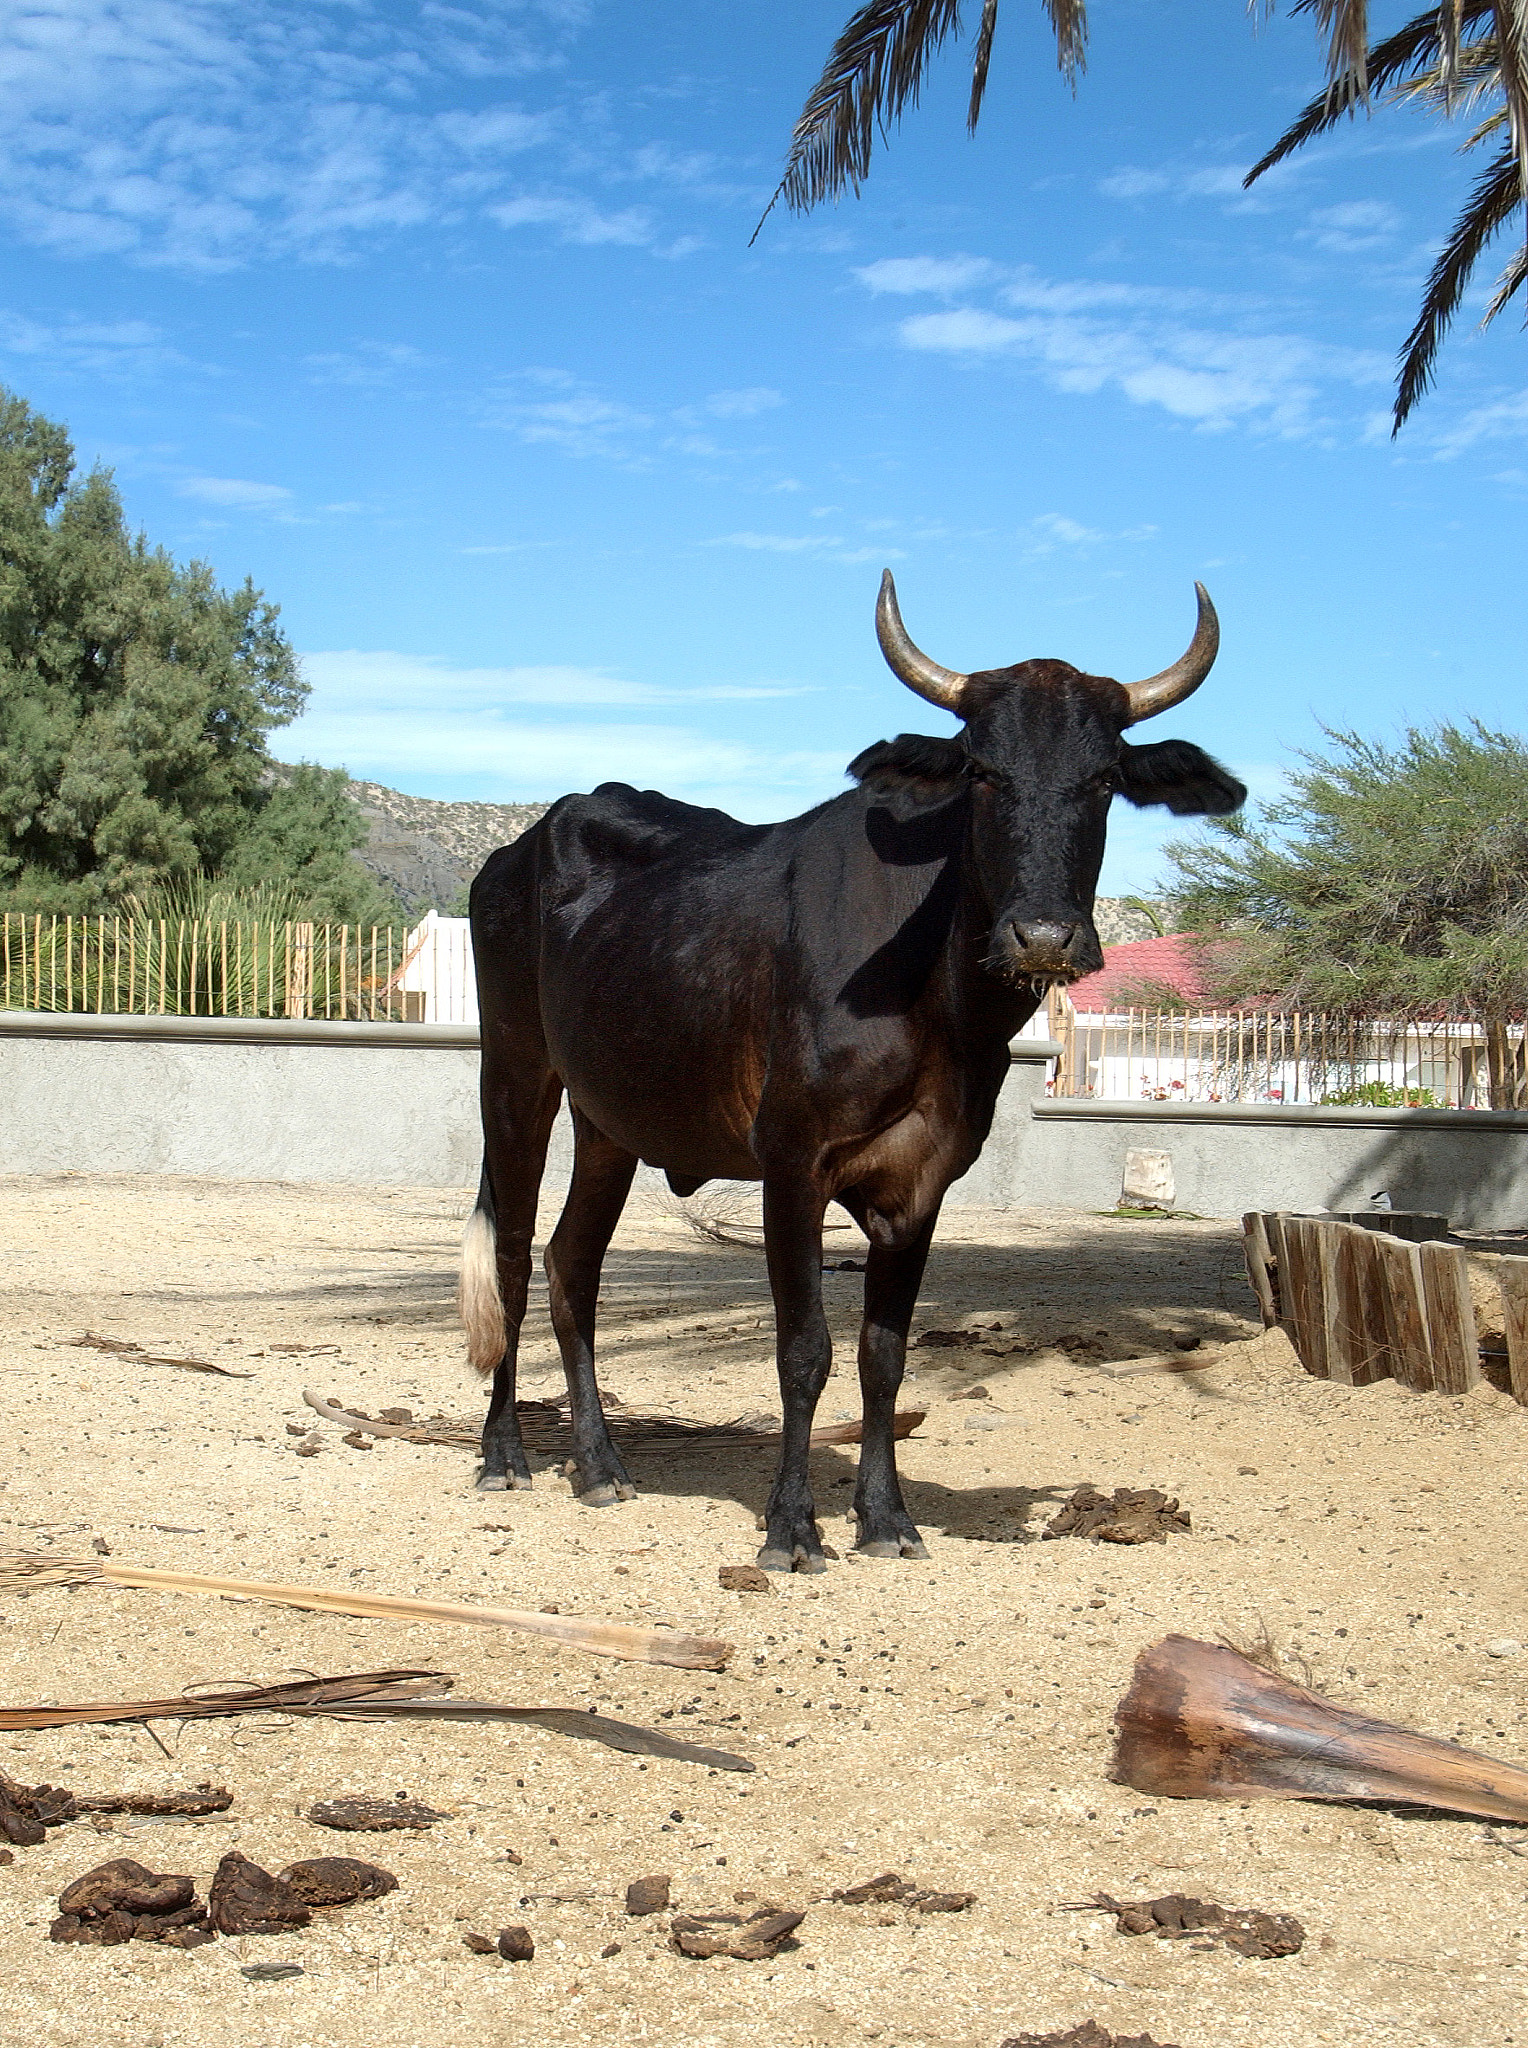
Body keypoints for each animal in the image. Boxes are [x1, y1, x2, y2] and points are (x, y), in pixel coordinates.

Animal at [459, 573, 1244, 1570]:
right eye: (984, 772)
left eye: (1104, 779)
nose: (1044, 936)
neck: (936, 997)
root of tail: (521, 847)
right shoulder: (791, 1163)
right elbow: (806, 1351)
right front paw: (792, 1525)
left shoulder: (922, 1182)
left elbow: (884, 1355)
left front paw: (885, 1516)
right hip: (517, 1074)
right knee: (514, 1261)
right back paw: (505, 1455)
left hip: (610, 1123)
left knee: (572, 1268)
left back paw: (599, 1466)